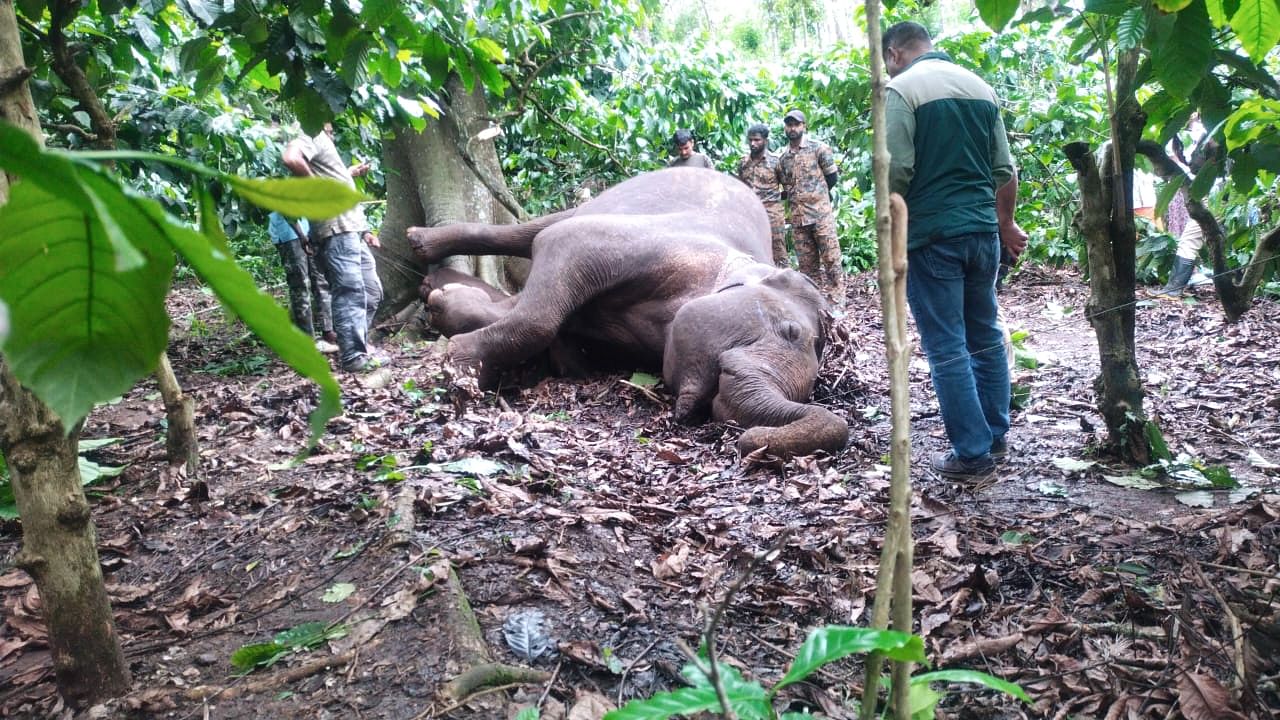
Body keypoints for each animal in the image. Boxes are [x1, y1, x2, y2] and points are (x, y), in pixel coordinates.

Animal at [407, 166, 849, 453]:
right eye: (791, 332)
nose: (748, 442)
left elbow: (566, 348)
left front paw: (445, 305)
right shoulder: (653, 246)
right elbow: (552, 273)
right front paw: (461, 366)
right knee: (535, 229)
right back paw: (419, 243)